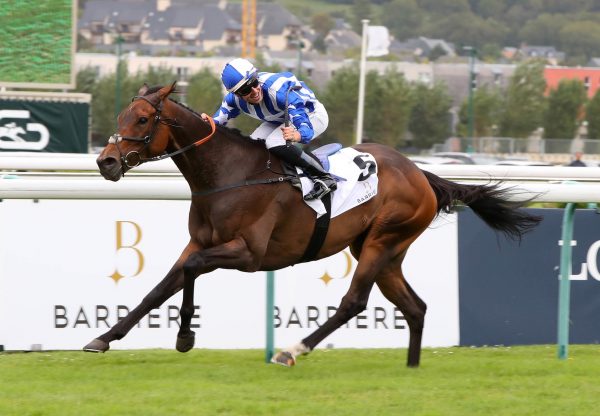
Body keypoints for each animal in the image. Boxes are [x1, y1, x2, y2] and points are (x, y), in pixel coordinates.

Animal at [85, 82, 544, 368]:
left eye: (142, 120)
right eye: (123, 114)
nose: (105, 161)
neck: (228, 174)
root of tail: (420, 173)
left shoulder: (248, 253)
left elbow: (193, 271)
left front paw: (185, 337)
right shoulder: (197, 243)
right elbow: (159, 289)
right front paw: (103, 338)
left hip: (381, 242)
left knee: (353, 303)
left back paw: (292, 350)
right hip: (384, 251)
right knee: (415, 307)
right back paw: (411, 369)